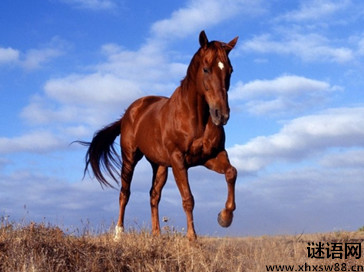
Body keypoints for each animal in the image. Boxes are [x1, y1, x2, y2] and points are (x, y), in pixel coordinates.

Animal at [77, 30, 239, 241]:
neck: (196, 118)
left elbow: (231, 173)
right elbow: (188, 198)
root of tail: (128, 113)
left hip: (160, 165)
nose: (222, 114)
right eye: (206, 69)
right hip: (130, 158)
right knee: (124, 193)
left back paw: (156, 235)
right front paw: (192, 239)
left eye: (230, 70)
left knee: (154, 195)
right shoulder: (179, 160)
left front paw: (225, 217)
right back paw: (119, 234)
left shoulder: (211, 156)